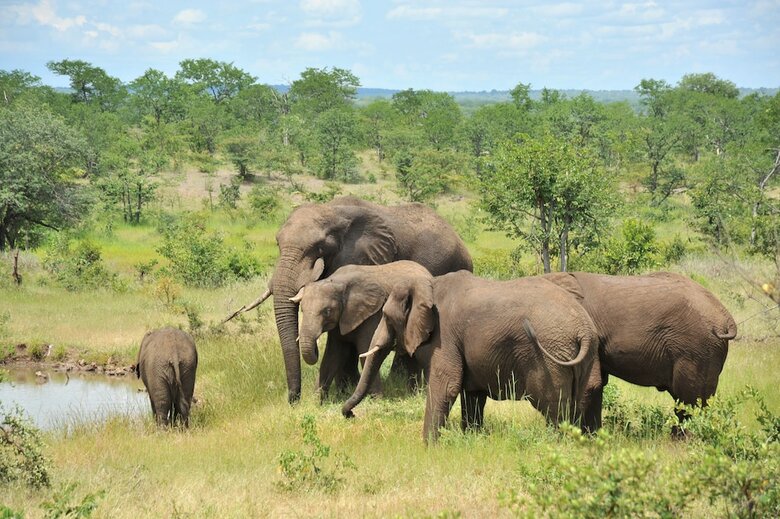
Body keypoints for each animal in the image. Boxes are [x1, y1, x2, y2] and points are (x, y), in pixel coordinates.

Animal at [291, 261, 433, 400]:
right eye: (302, 310)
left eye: (327, 311)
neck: (338, 282)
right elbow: (332, 355)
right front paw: (316, 401)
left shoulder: (371, 315)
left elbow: (365, 352)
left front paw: (377, 400)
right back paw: (414, 394)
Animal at [344, 270, 602, 443]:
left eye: (386, 317)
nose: (350, 415)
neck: (429, 284)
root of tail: (583, 330)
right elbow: (472, 394)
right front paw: (471, 439)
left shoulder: (445, 336)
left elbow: (447, 385)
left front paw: (428, 448)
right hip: (583, 358)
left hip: (550, 358)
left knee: (554, 407)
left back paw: (557, 445)